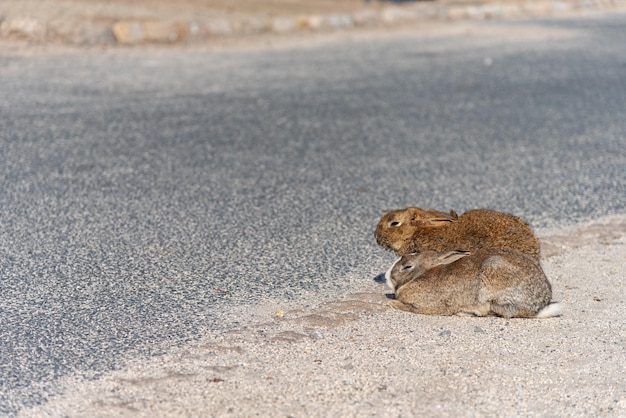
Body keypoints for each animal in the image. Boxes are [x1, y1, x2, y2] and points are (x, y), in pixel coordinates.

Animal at [386, 247, 560, 318]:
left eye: (407, 266)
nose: (387, 276)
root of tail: (539, 305)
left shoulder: (429, 306)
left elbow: (409, 307)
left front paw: (390, 303)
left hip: (491, 282)